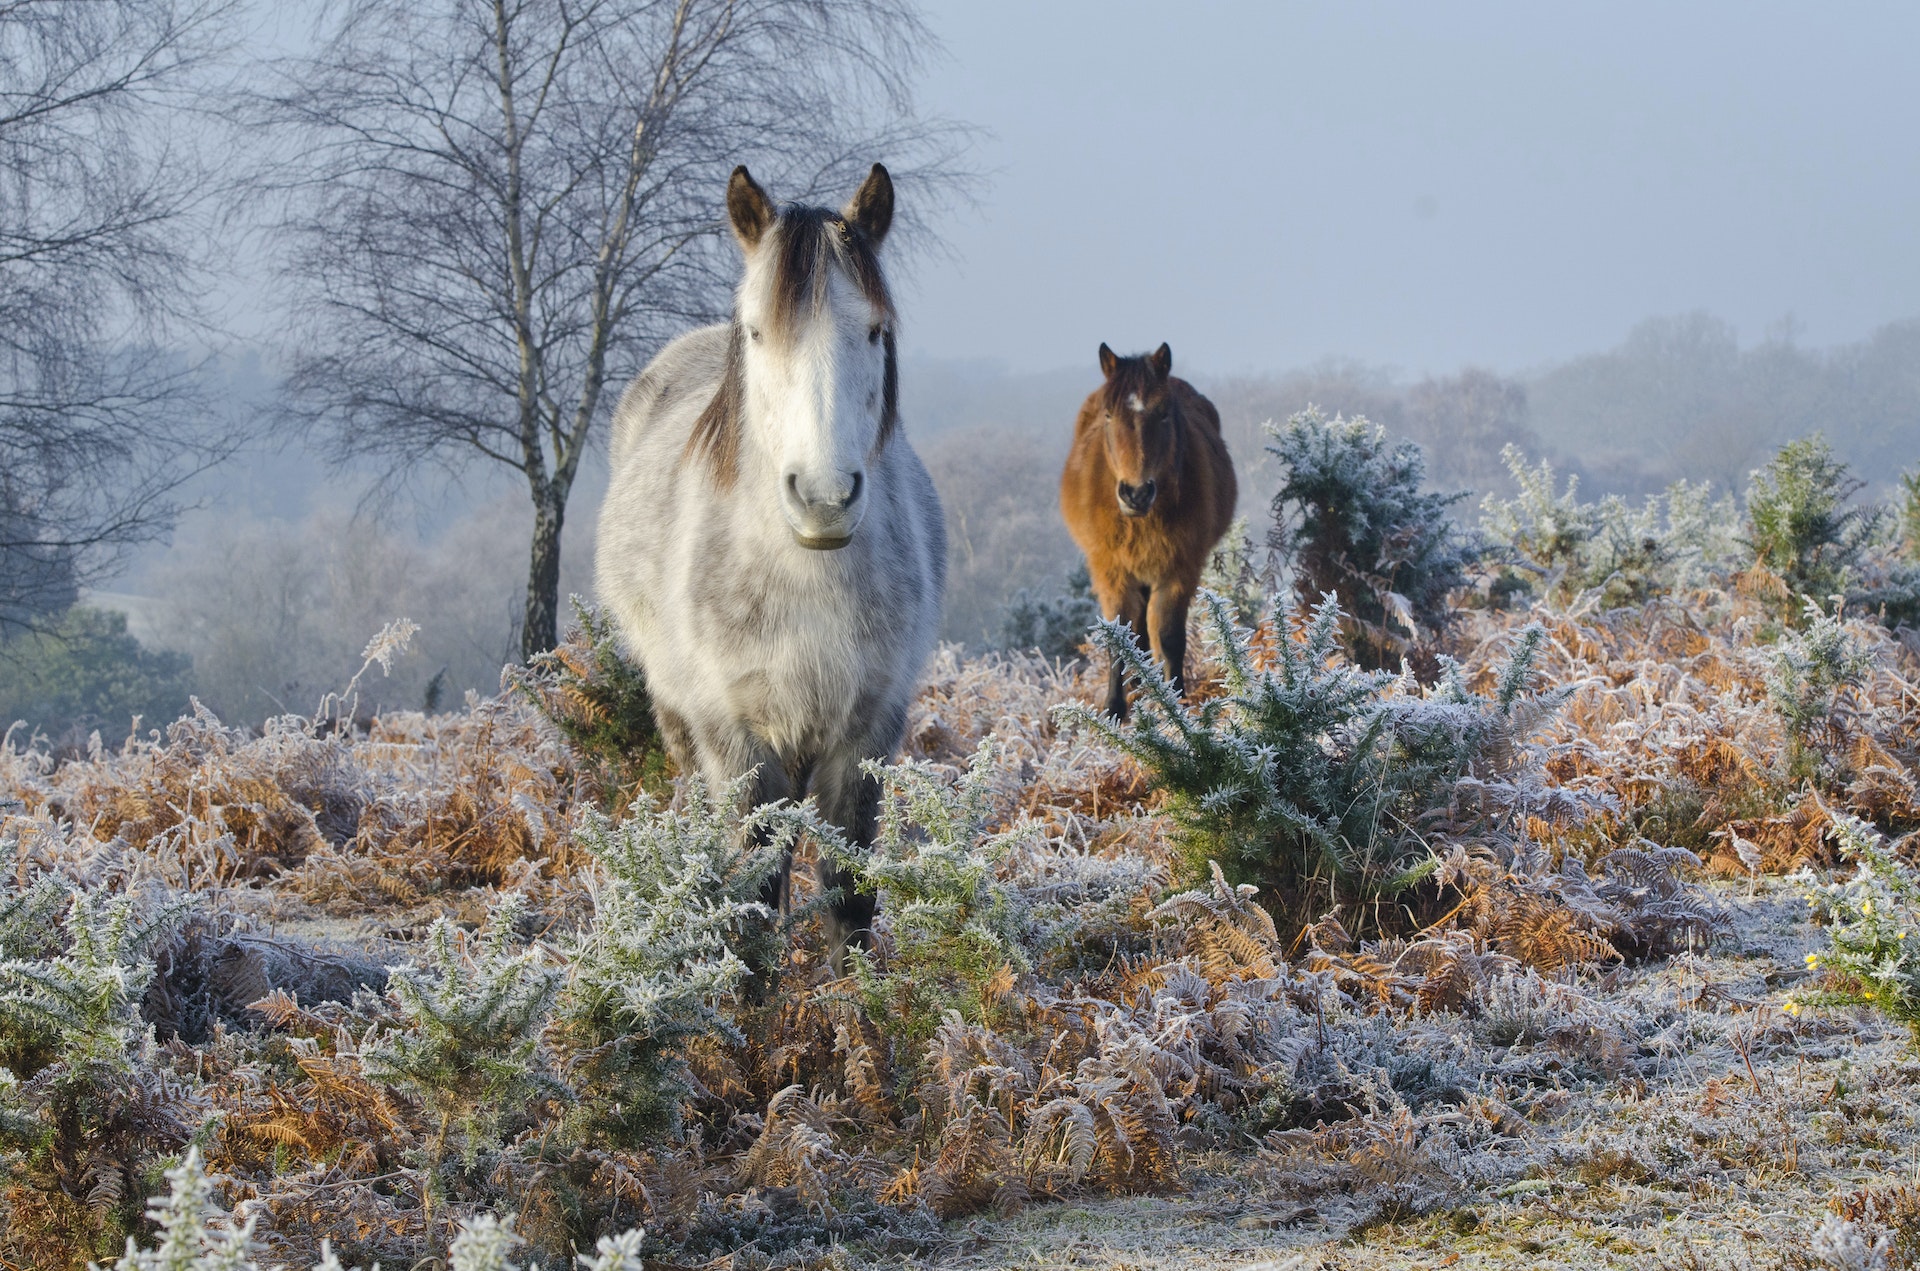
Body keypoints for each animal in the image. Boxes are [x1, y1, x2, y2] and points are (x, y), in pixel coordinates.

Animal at [595, 163, 946, 963]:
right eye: (757, 332)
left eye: (875, 330)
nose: (823, 499)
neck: (806, 583)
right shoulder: (739, 740)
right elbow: (751, 895)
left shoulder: (867, 733)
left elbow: (849, 892)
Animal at [1060, 342, 1237, 720]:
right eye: (1108, 415)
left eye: (1163, 414)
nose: (1136, 493)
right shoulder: (1111, 572)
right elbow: (1119, 637)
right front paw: (1114, 709)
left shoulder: (1178, 570)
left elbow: (1169, 638)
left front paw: (1176, 703)